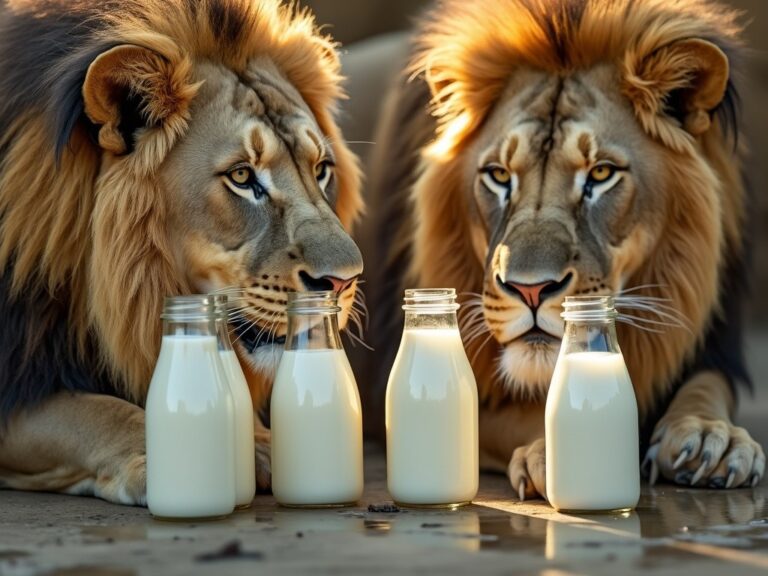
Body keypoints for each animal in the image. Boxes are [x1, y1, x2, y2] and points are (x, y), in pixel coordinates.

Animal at [364, 0, 760, 498]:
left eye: (601, 173)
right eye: (498, 176)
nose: (531, 291)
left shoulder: (715, 349)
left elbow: (709, 386)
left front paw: (712, 435)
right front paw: (555, 452)